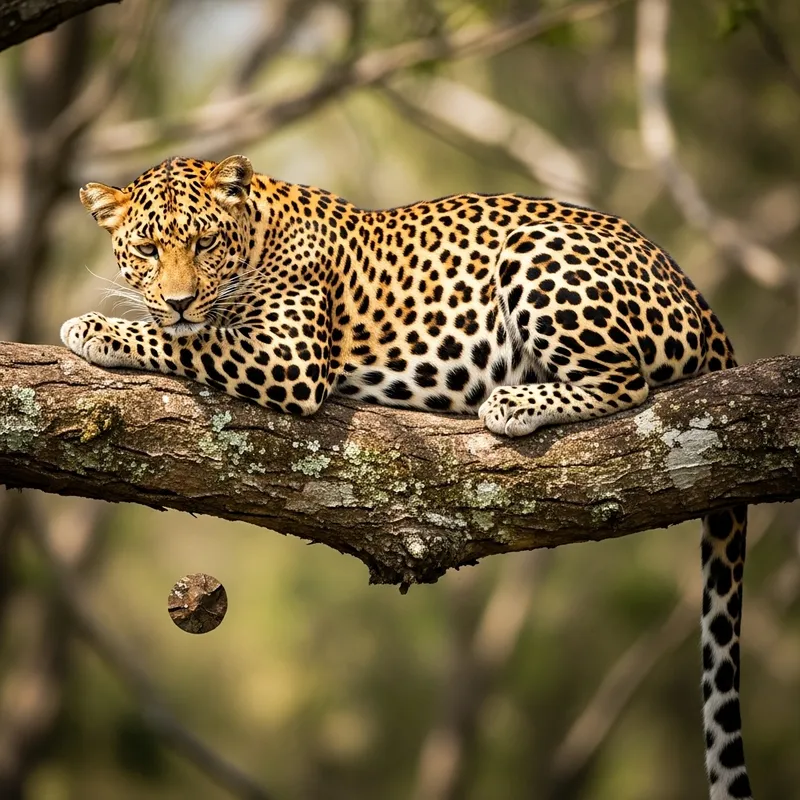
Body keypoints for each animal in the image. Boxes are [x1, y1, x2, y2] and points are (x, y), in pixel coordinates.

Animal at [62, 154, 752, 800]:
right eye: (147, 250)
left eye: (204, 243)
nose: (178, 300)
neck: (258, 234)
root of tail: (709, 313)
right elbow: (189, 332)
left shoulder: (290, 354)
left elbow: (189, 340)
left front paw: (94, 327)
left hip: (538, 250)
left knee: (626, 381)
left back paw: (512, 403)